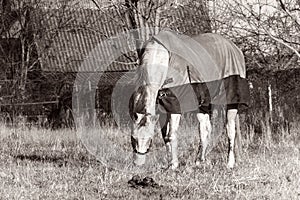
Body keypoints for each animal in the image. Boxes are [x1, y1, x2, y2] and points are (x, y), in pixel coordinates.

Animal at [130, 30, 250, 169]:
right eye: (133, 139)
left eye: (149, 140)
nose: (138, 164)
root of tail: (236, 49)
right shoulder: (163, 108)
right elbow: (165, 136)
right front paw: (170, 163)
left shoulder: (175, 105)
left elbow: (171, 135)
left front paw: (174, 165)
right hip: (204, 104)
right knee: (205, 130)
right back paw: (199, 161)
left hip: (231, 102)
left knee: (230, 129)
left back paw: (230, 163)